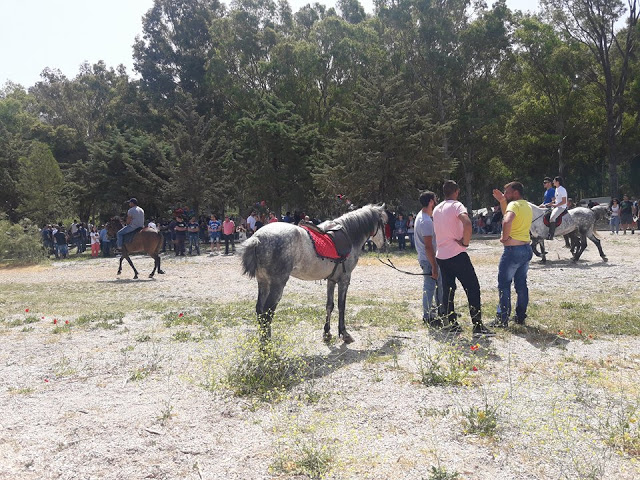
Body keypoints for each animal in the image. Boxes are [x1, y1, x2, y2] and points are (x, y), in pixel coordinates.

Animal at [242, 204, 388, 344]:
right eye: (384, 223)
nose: (384, 244)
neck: (349, 235)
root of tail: (257, 238)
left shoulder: (331, 280)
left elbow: (330, 305)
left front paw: (327, 333)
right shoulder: (344, 280)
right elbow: (341, 306)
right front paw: (344, 333)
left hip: (263, 282)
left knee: (260, 310)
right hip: (277, 285)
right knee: (267, 313)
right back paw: (267, 347)